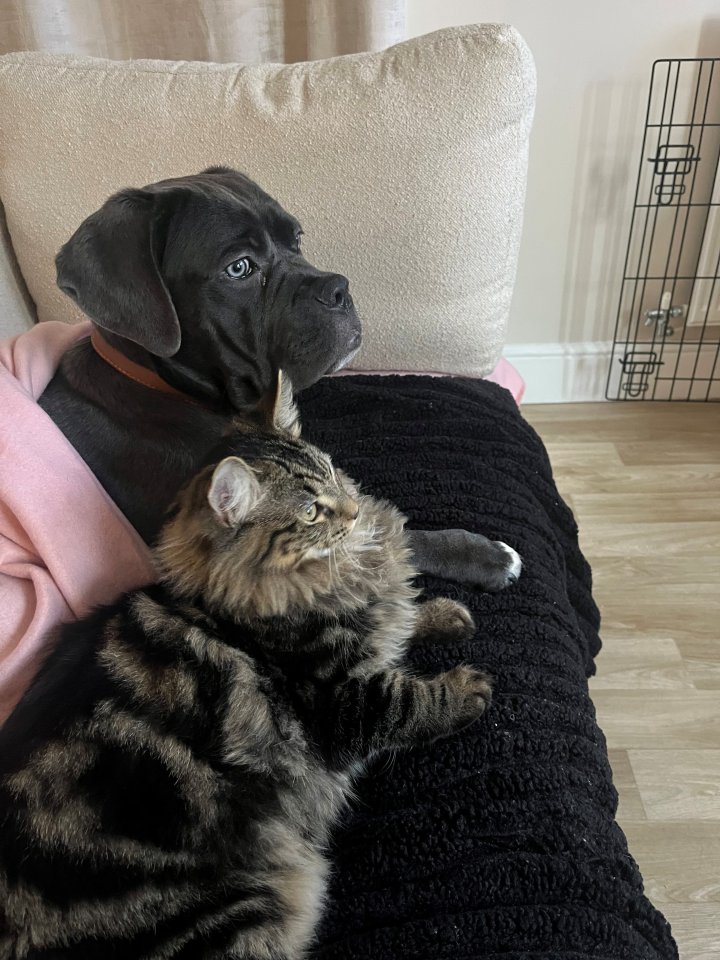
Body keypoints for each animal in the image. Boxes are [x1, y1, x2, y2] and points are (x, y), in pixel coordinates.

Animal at [0, 375, 493, 960]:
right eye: (310, 513)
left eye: (331, 471)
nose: (352, 512)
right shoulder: (337, 707)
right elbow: (408, 698)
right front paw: (469, 687)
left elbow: (398, 617)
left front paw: (444, 615)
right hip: (233, 920)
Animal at [38, 167, 520, 589]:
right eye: (240, 268)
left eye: (297, 239)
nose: (340, 288)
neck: (164, 386)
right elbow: (378, 535)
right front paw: (483, 554)